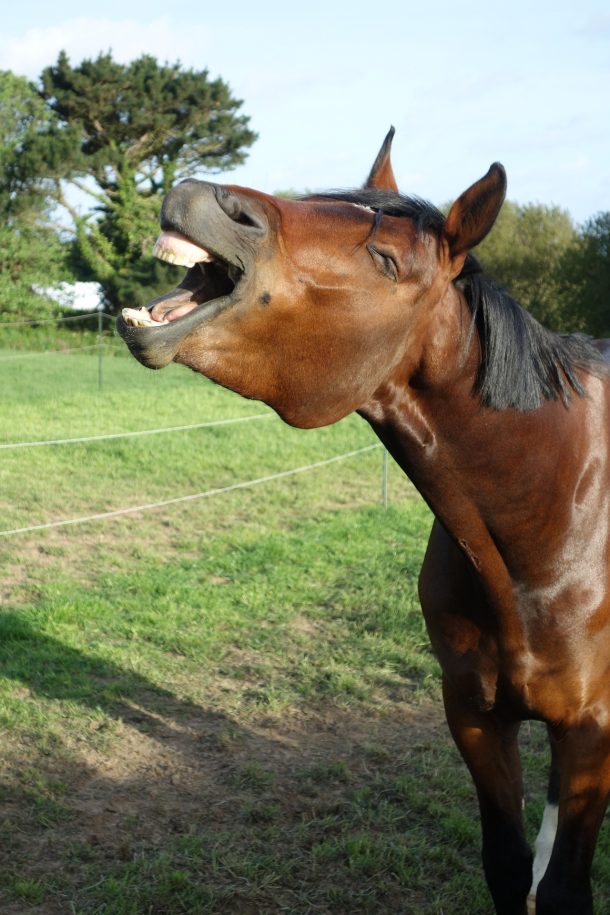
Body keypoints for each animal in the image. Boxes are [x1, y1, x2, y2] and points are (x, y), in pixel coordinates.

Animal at [118, 128, 610, 915]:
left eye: (387, 260)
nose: (199, 196)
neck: (556, 516)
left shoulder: (593, 732)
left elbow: (564, 886)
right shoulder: (476, 715)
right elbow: (509, 866)